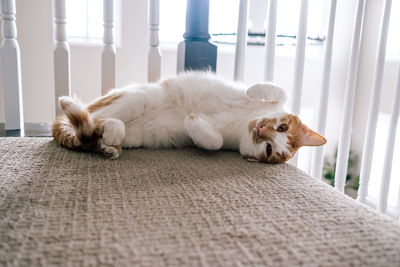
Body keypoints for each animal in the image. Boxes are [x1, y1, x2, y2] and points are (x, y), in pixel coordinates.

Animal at [52, 72, 324, 163]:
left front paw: (193, 121)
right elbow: (279, 90)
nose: (260, 130)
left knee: (91, 132)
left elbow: (213, 142)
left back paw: (109, 143)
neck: (243, 121)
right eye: (282, 126)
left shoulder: (224, 142)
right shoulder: (272, 100)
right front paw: (254, 90)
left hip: (136, 134)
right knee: (92, 118)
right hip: (141, 97)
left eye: (268, 149)